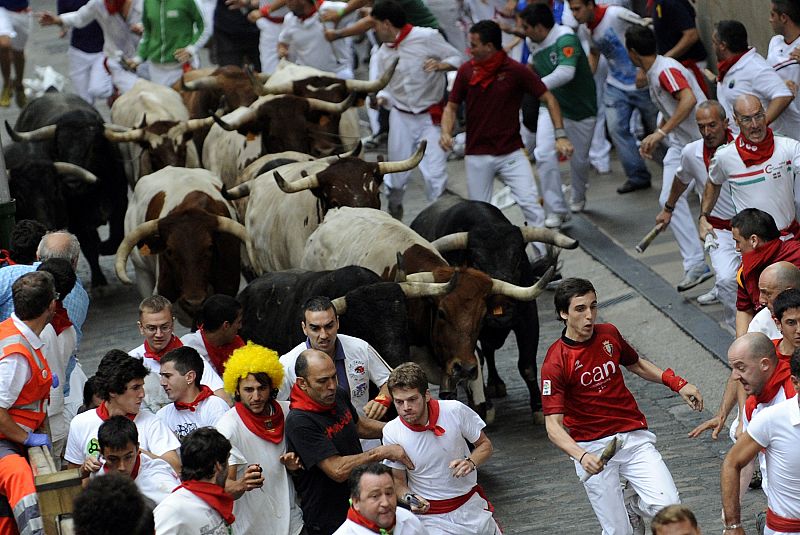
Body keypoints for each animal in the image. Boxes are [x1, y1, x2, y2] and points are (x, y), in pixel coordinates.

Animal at [4, 91, 128, 288]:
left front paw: (104, 248)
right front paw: (99, 281)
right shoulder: (76, 220)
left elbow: (116, 237)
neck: (93, 191)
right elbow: (89, 248)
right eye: (59, 146)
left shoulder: (120, 203)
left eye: (92, 146)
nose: (71, 182)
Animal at [412, 194, 576, 422]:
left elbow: (527, 365)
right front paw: (486, 407)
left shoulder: (527, 317)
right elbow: (476, 360)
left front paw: (538, 408)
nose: (503, 308)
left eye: (518, 259)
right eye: (477, 262)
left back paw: (495, 383)